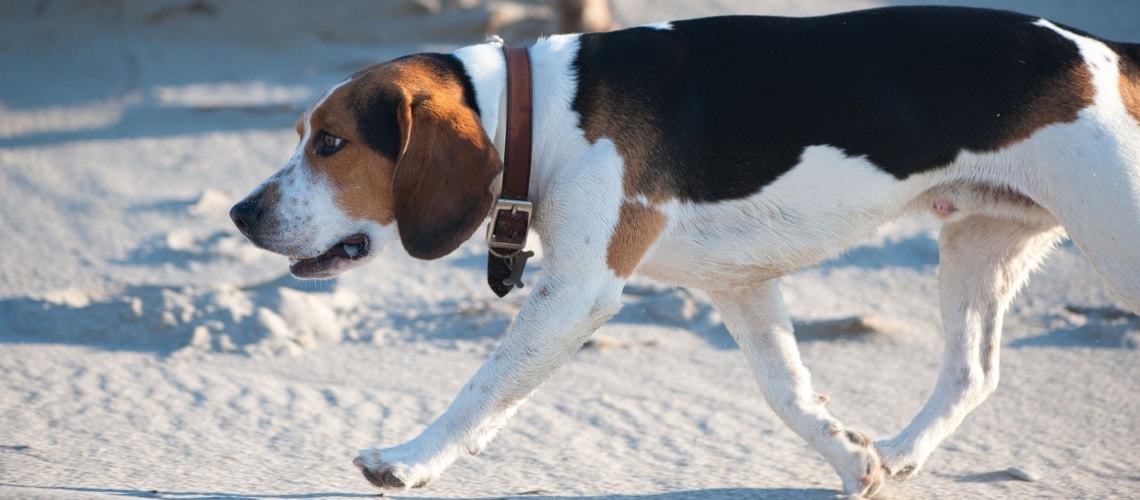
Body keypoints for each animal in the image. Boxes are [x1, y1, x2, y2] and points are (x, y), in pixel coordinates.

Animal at [231, 4, 1140, 496]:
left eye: (333, 144)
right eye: (305, 136)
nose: (241, 213)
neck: (537, 111)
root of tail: (1105, 51)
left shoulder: (579, 292)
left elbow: (480, 388)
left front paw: (410, 461)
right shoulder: (741, 284)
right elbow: (789, 394)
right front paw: (852, 463)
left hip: (1112, 226)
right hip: (982, 241)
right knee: (971, 371)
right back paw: (899, 453)